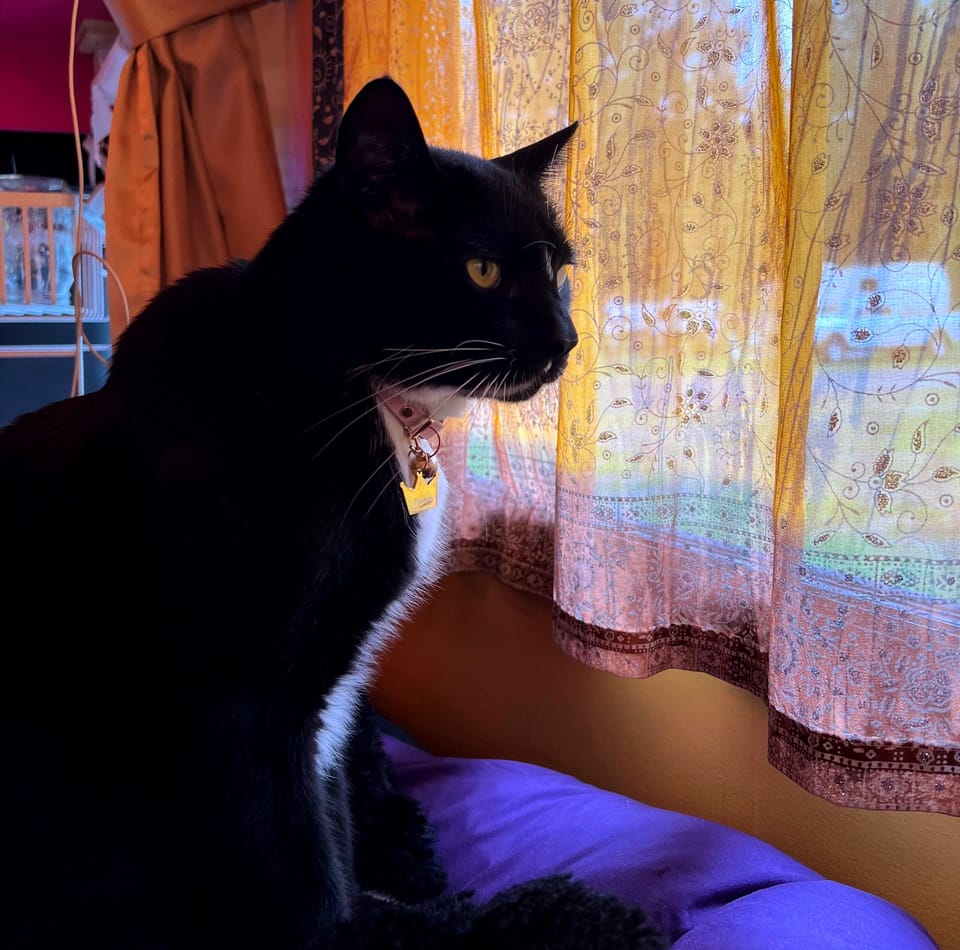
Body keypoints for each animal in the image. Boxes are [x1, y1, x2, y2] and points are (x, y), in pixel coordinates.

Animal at [0, 78, 668, 948]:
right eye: (482, 270)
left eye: (558, 270)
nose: (568, 340)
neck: (356, 391)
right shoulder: (249, 710)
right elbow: (315, 899)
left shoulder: (334, 696)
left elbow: (337, 836)